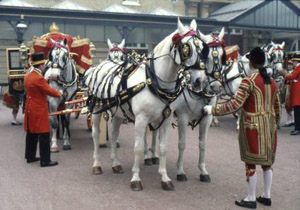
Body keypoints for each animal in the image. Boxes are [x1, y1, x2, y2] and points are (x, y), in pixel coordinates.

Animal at [84, 18, 206, 192]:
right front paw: (135, 178)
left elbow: (163, 148)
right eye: (186, 48)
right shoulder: (141, 119)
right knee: (95, 134)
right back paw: (97, 165)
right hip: (96, 110)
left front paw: (165, 178)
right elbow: (138, 147)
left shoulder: (166, 119)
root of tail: (101, 65)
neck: (154, 82)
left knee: (113, 135)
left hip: (118, 113)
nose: (199, 81)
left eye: (202, 48)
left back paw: (116, 164)